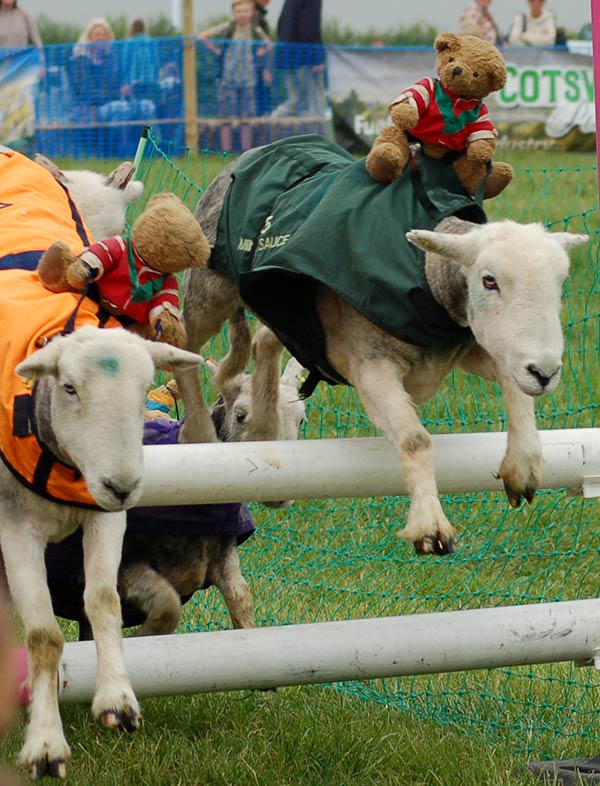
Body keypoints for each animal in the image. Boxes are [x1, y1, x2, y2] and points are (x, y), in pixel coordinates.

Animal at [0, 318, 202, 776]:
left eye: (145, 387)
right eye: (69, 387)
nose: (122, 486)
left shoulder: (106, 517)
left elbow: (104, 601)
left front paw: (117, 699)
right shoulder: (15, 527)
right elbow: (43, 636)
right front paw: (45, 743)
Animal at [176, 138, 588, 556]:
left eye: (561, 281)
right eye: (489, 280)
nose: (546, 372)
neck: (424, 276)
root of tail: (257, 150)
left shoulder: (473, 346)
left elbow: (515, 387)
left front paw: (523, 467)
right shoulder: (370, 366)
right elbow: (416, 439)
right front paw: (430, 526)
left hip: (286, 309)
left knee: (263, 341)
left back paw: (262, 427)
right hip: (208, 289)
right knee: (183, 348)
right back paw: (199, 433)